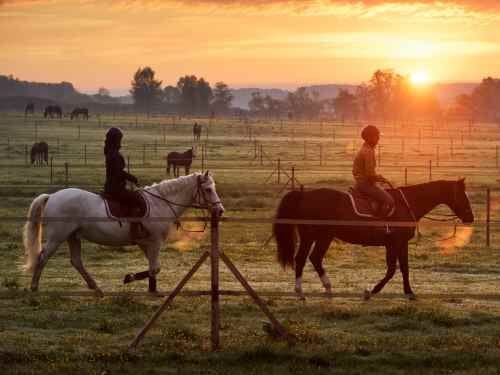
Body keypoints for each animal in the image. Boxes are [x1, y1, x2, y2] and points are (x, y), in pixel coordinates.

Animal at [22, 171, 224, 296]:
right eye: (208, 190)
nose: (220, 210)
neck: (161, 203)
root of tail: (52, 196)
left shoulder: (146, 243)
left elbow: (153, 267)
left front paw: (152, 289)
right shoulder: (154, 242)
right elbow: (155, 268)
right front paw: (130, 278)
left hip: (73, 236)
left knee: (76, 261)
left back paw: (96, 288)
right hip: (57, 237)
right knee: (42, 257)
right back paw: (34, 287)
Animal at [276, 179, 474, 300]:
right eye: (463, 196)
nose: (470, 218)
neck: (407, 204)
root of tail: (304, 195)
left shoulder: (397, 244)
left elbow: (401, 268)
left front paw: (406, 292)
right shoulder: (396, 243)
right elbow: (395, 269)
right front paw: (373, 291)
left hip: (317, 237)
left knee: (309, 258)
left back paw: (320, 289)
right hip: (319, 236)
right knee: (307, 258)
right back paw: (306, 291)